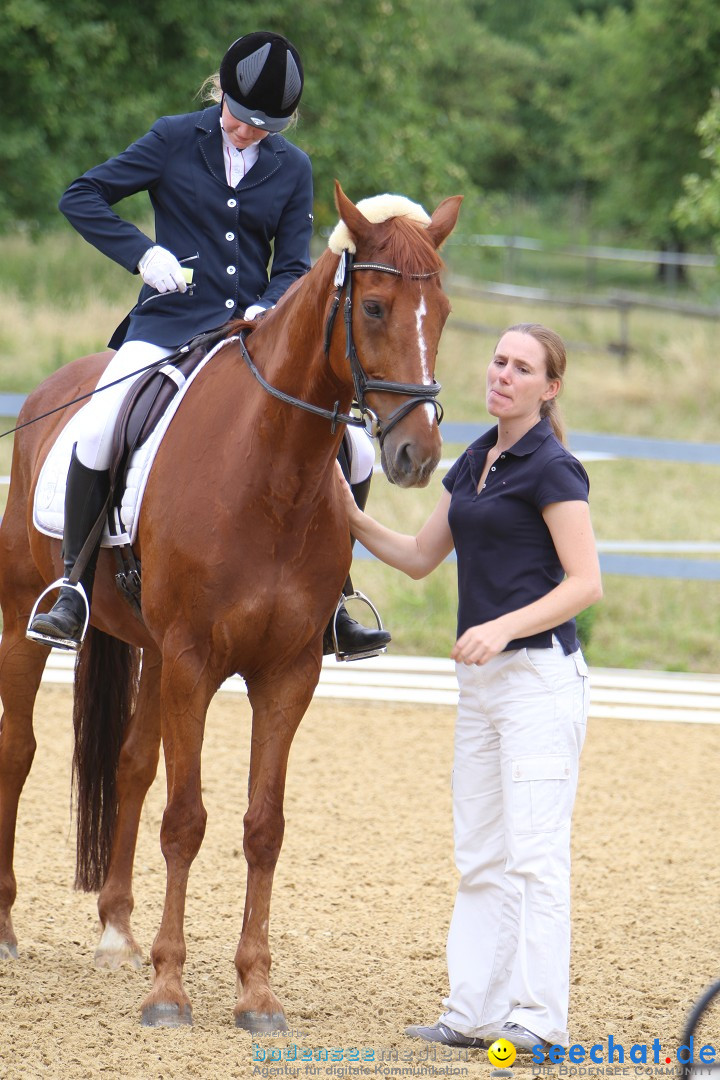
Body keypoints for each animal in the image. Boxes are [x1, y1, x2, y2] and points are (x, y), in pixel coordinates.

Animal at [0, 183, 462, 1028]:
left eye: (441, 310)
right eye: (375, 307)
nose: (417, 455)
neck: (275, 467)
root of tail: (61, 383)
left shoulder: (287, 672)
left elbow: (262, 826)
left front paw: (255, 991)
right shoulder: (193, 660)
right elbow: (187, 820)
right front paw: (169, 990)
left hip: (148, 647)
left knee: (131, 764)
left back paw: (117, 932)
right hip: (29, 617)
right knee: (19, 750)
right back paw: (8, 926)